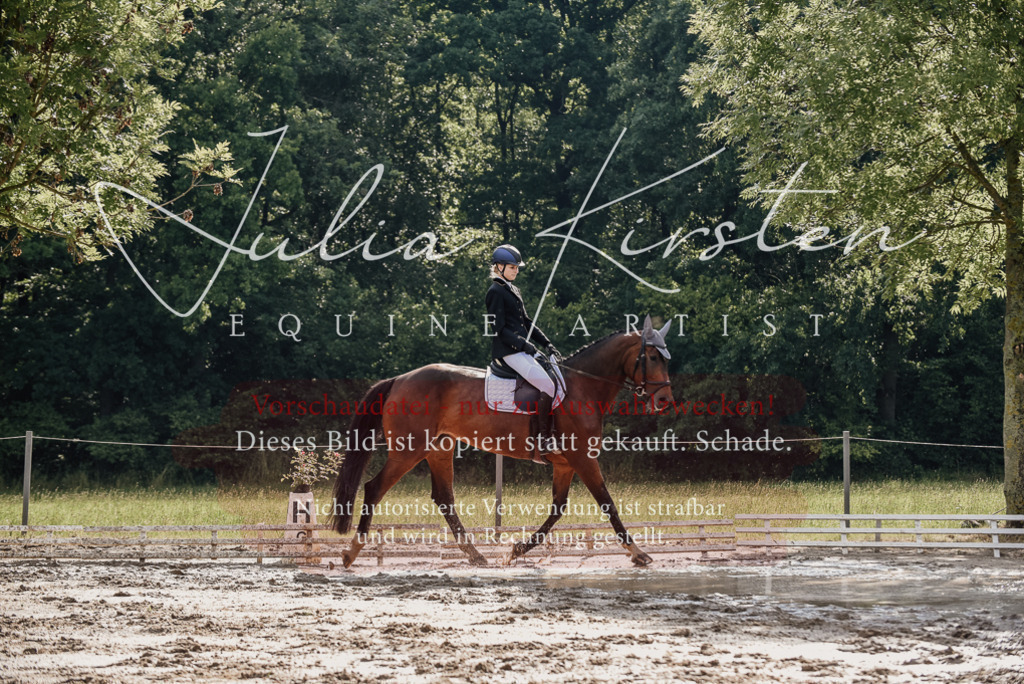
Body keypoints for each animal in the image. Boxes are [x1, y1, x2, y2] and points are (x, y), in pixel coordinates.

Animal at [330, 315, 674, 567]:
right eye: (652, 357)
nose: (665, 401)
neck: (583, 387)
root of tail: (399, 380)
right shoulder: (583, 459)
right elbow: (607, 502)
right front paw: (638, 554)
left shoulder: (565, 464)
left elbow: (557, 509)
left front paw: (516, 550)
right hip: (408, 451)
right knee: (374, 489)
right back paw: (350, 553)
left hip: (439, 449)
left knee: (444, 498)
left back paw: (477, 556)